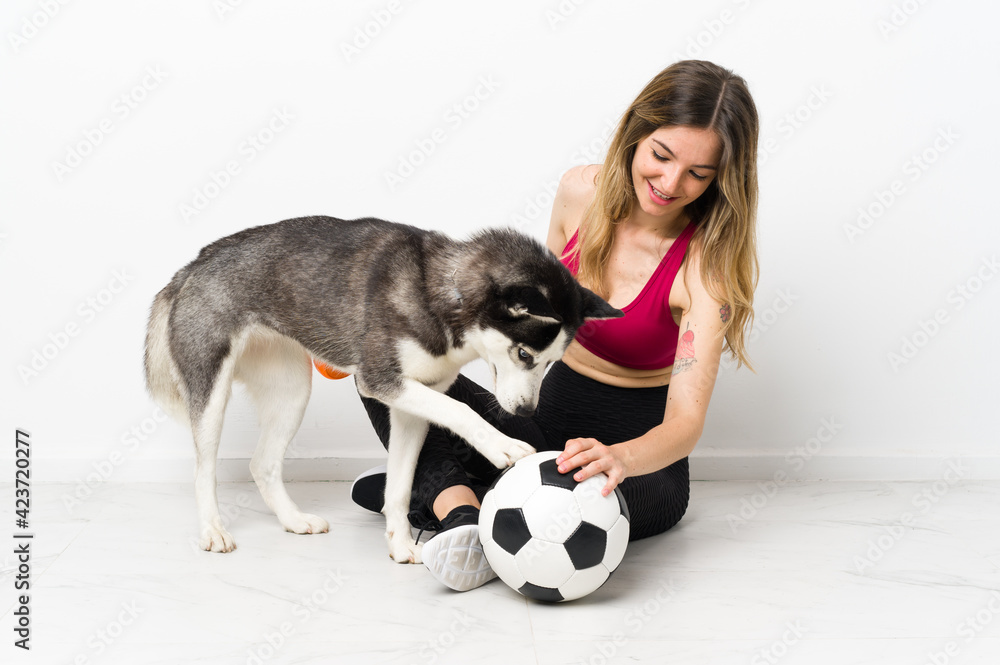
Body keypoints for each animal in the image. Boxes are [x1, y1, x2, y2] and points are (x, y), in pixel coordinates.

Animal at [145, 217, 620, 560]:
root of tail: (192, 266)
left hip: (291, 391)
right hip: (211, 391)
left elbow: (400, 485)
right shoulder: (378, 380)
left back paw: (293, 520)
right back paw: (213, 530)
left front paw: (400, 542)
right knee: (204, 470)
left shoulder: (413, 403)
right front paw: (501, 444)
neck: (444, 293)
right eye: (524, 354)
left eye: (553, 362)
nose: (524, 413)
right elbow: (462, 412)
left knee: (262, 464)